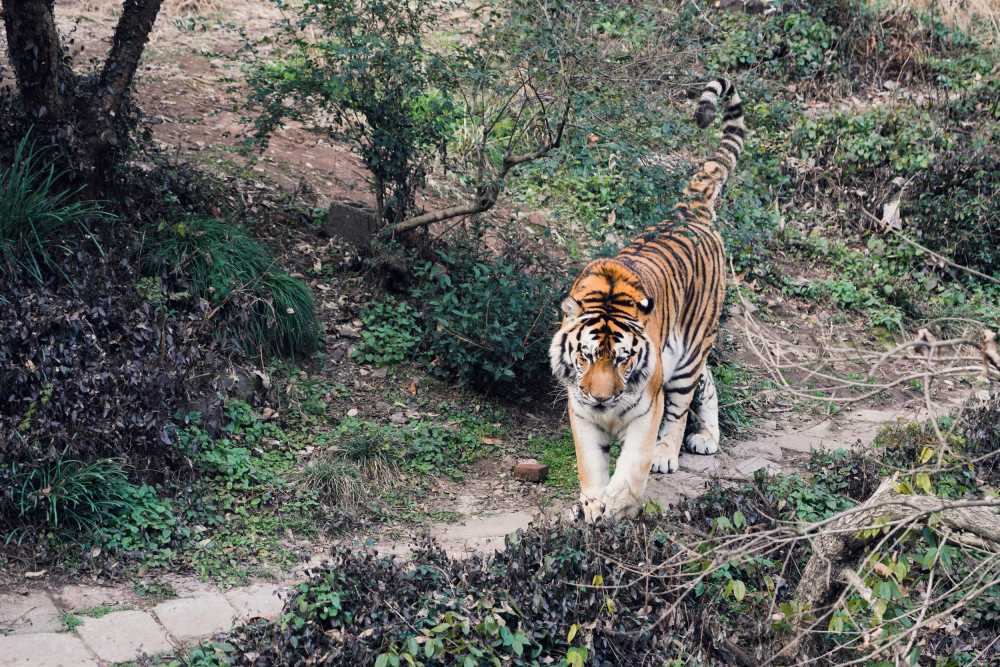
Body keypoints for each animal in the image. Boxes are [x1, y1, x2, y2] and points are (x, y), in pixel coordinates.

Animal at [552, 78, 748, 520]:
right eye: (586, 356)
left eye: (623, 359)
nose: (602, 397)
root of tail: (689, 211)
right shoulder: (580, 410)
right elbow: (591, 466)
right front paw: (593, 504)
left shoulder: (646, 408)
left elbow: (630, 467)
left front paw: (616, 504)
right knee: (709, 380)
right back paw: (706, 436)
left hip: (690, 351)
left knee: (684, 403)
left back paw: (672, 450)